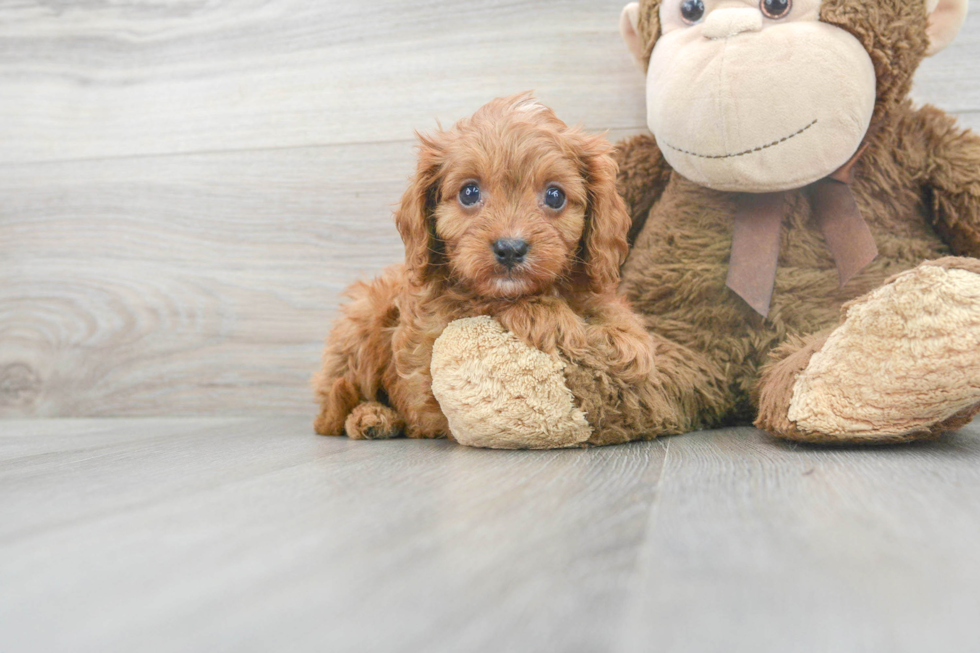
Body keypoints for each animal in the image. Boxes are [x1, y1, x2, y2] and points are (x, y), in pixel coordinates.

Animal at [314, 94, 656, 440]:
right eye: (469, 192)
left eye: (555, 196)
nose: (510, 249)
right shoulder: (427, 359)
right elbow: (478, 303)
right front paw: (547, 315)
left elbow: (613, 317)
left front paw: (626, 337)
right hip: (362, 321)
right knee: (333, 411)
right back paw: (370, 417)